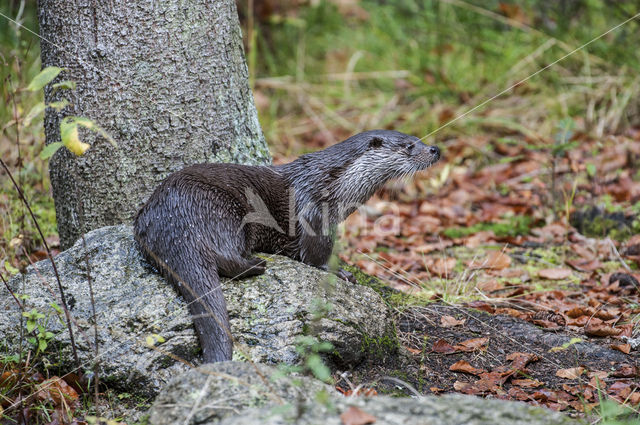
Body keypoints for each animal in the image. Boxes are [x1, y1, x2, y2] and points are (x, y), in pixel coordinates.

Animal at [135, 130, 440, 362]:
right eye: (409, 146)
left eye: (419, 138)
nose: (435, 149)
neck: (333, 184)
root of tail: (172, 221)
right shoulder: (315, 214)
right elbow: (315, 255)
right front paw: (340, 273)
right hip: (222, 210)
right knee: (226, 257)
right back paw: (258, 264)